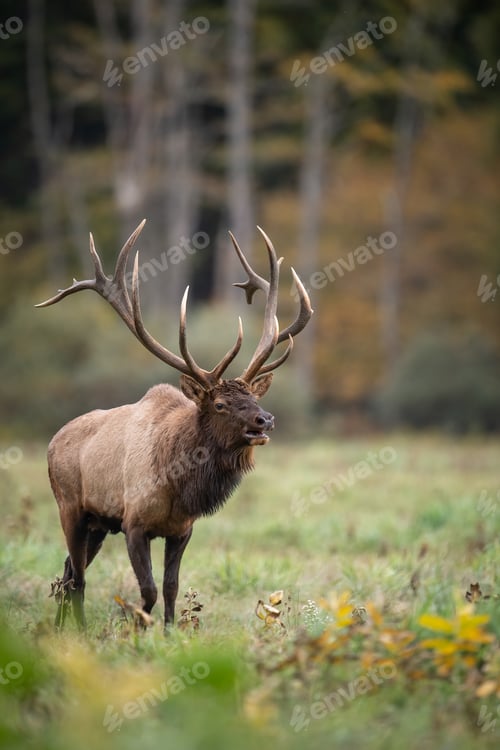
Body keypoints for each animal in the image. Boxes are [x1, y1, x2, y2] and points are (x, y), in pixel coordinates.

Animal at [36, 220, 312, 630]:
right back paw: (79, 630)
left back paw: (59, 627)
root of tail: (53, 440)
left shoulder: (181, 530)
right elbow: (148, 591)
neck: (178, 484)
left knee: (69, 569)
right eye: (219, 404)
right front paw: (137, 631)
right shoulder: (134, 523)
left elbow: (170, 588)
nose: (266, 419)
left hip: (98, 523)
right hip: (69, 505)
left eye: (254, 397)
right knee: (78, 578)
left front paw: (169, 635)